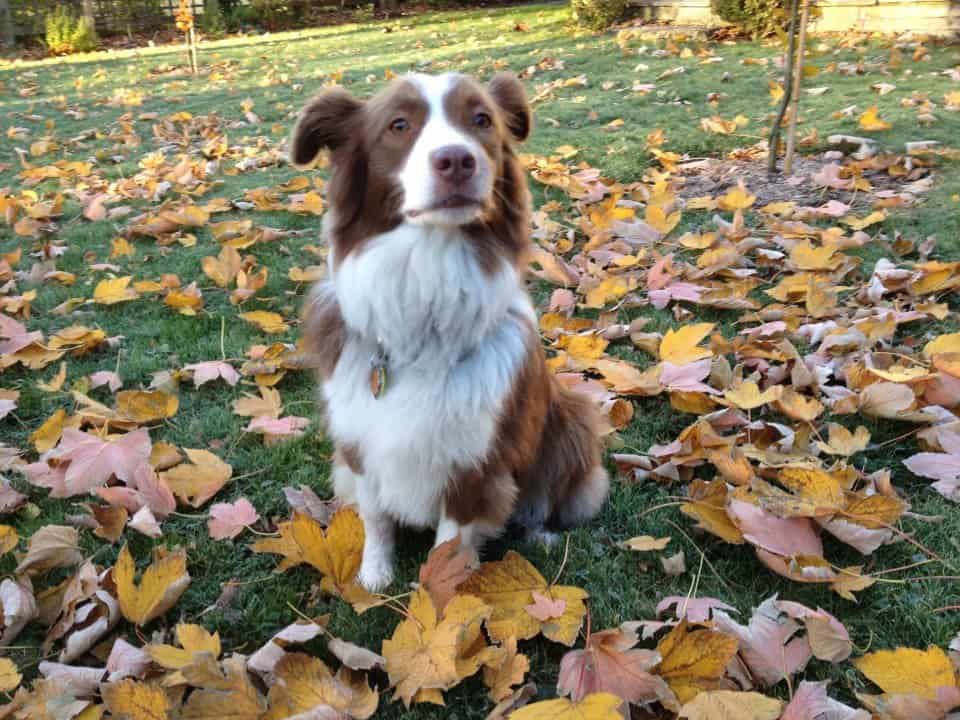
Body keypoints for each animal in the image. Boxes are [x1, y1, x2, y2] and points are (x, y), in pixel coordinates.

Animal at [290, 73, 608, 592]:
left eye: (481, 120)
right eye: (399, 125)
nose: (457, 160)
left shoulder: (474, 463)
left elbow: (450, 544)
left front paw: (439, 599)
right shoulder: (361, 442)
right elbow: (376, 517)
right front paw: (373, 577)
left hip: (573, 417)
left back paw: (540, 533)